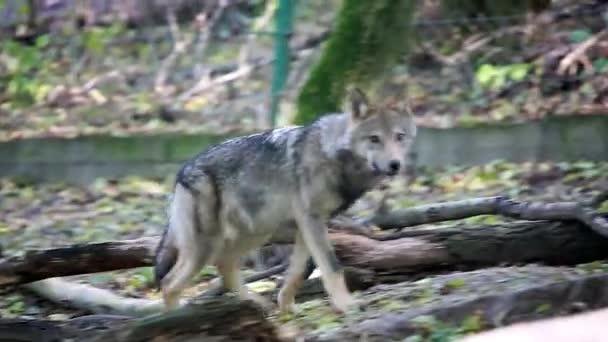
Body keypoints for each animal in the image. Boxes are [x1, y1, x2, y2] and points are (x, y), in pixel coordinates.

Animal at [153, 87, 418, 312]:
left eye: (399, 136)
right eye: (374, 139)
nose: (395, 165)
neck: (333, 155)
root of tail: (181, 172)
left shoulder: (307, 225)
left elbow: (298, 272)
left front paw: (287, 308)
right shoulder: (311, 219)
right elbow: (332, 266)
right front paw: (346, 306)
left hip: (253, 233)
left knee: (224, 269)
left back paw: (256, 305)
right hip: (208, 247)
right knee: (169, 284)